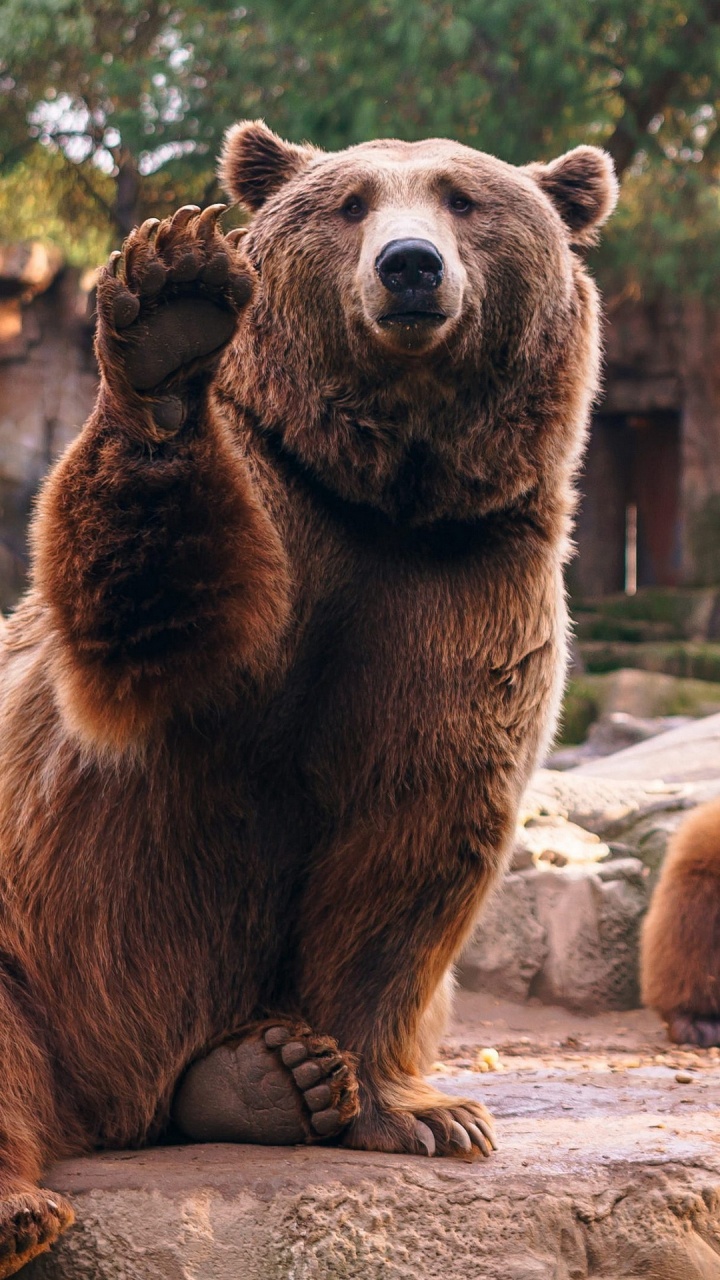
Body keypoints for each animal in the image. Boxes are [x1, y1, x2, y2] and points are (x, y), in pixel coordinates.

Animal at [0, 120, 616, 1274]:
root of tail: (104, 1108)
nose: (410, 267)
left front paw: (421, 1111)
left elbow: (409, 842)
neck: (386, 496)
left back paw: (267, 1076)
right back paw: (26, 1207)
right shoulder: (275, 523)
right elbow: (141, 618)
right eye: (351, 202)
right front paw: (173, 309)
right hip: (31, 951)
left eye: (465, 199)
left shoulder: (460, 589)